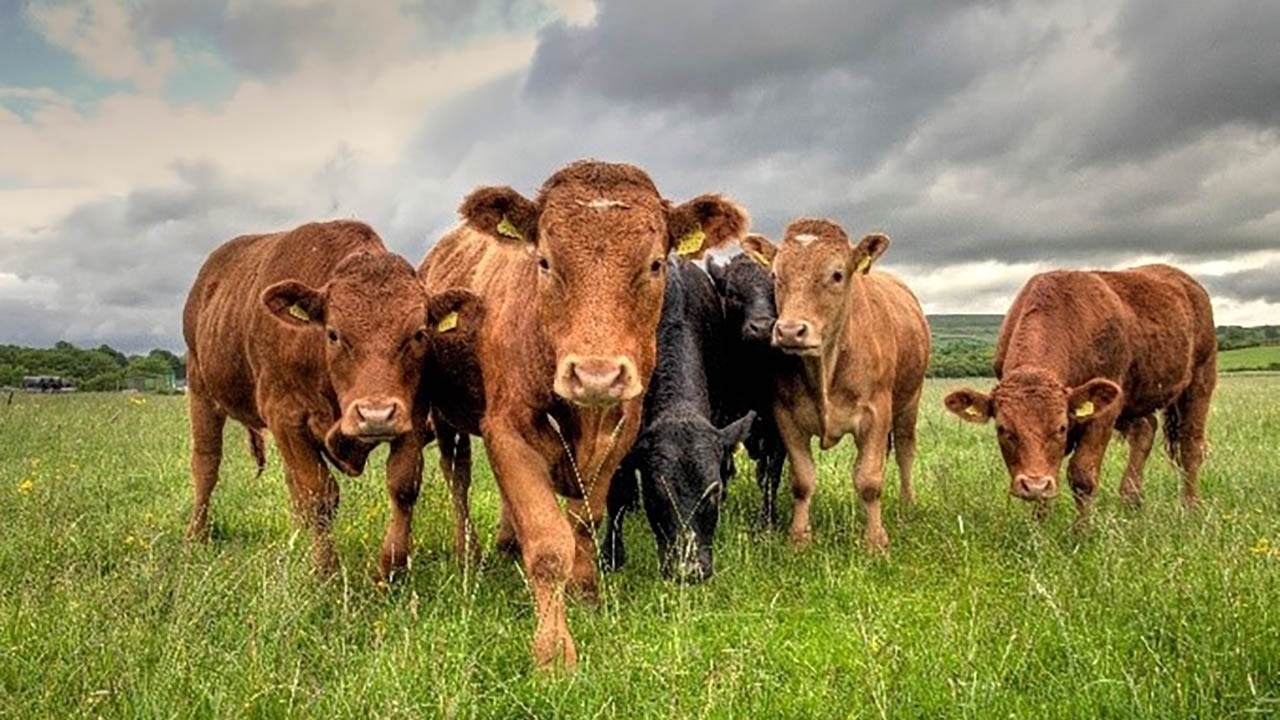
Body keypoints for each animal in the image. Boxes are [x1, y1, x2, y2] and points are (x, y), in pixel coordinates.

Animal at [183, 220, 469, 579]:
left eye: (419, 333)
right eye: (333, 334)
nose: (375, 415)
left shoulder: (413, 414)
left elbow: (403, 486)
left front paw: (391, 570)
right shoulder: (286, 416)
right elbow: (319, 497)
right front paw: (326, 571)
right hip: (200, 390)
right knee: (206, 465)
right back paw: (196, 535)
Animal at [707, 254, 790, 527]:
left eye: (777, 291)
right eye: (733, 293)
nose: (762, 328)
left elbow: (771, 475)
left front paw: (769, 520)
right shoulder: (720, 417)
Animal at [740, 220, 930, 551]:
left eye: (837, 274)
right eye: (775, 275)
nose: (790, 331)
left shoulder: (877, 414)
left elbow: (869, 479)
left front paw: (875, 541)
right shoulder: (786, 417)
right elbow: (803, 479)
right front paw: (799, 536)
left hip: (909, 401)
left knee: (905, 450)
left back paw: (907, 504)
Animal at [943, 264, 1216, 522]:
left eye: (1061, 427)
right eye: (1002, 429)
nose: (1033, 485)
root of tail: (1186, 281)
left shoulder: (1103, 414)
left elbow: (1082, 475)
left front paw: (1081, 532)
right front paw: (1039, 527)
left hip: (1200, 380)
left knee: (1190, 447)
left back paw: (1191, 508)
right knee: (1145, 429)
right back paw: (1131, 500)